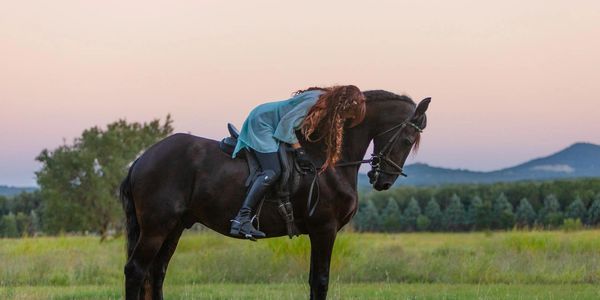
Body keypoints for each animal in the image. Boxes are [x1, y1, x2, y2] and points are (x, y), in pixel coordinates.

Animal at [120, 90, 432, 298]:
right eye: (408, 139)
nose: (383, 180)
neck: (326, 160)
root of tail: (141, 160)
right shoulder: (324, 229)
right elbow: (321, 281)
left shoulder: (320, 232)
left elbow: (314, 280)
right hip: (156, 227)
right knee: (136, 270)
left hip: (174, 227)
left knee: (156, 273)